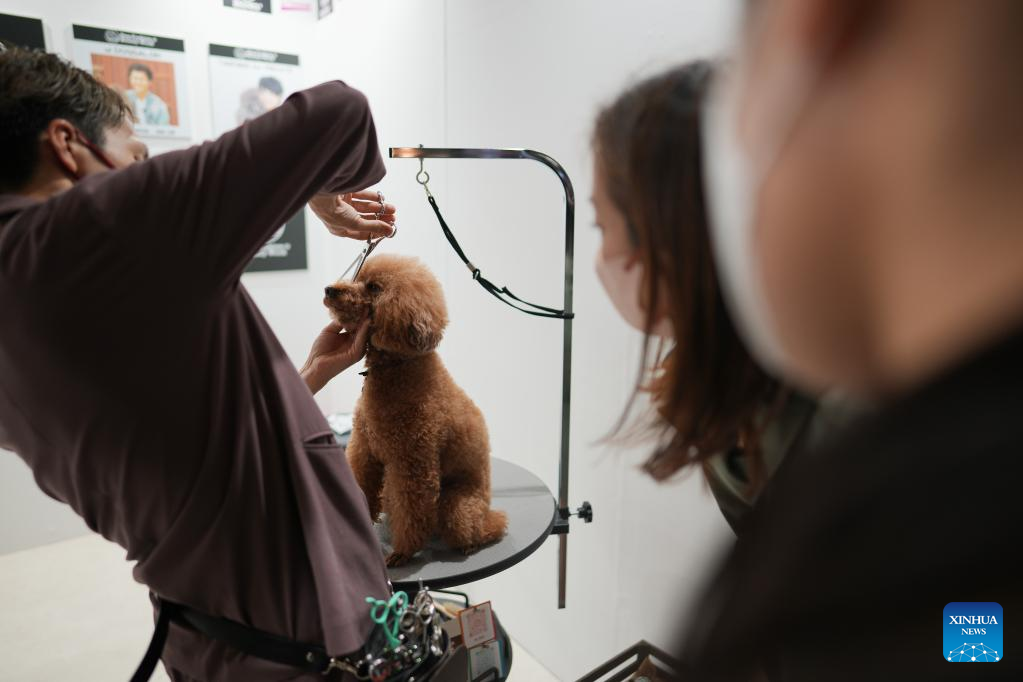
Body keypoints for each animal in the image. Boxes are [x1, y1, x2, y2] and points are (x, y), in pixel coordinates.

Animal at [323, 254, 508, 567]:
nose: (330, 289)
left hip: (457, 506)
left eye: (374, 287)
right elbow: (361, 482)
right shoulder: (364, 450)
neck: (397, 367)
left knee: (477, 526)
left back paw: (474, 541)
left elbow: (412, 508)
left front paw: (402, 552)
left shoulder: (411, 461)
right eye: (358, 276)